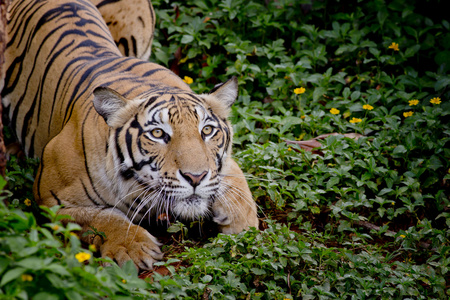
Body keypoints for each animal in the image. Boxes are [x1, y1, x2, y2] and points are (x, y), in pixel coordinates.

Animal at [1, 0, 258, 270]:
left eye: (207, 130)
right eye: (158, 133)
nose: (195, 178)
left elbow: (234, 176)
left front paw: (243, 222)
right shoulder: (51, 202)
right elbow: (101, 217)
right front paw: (133, 247)